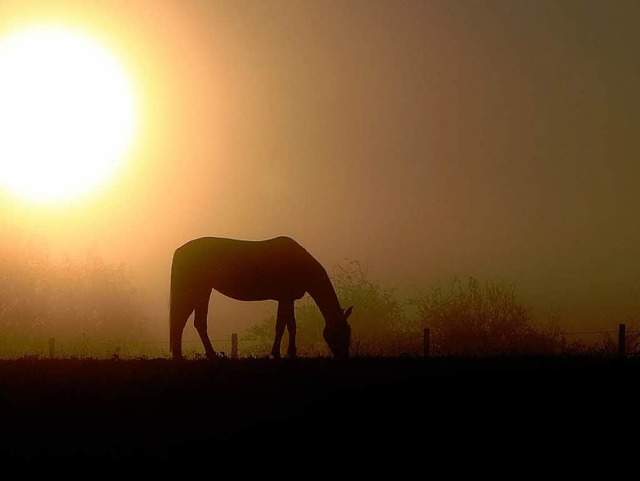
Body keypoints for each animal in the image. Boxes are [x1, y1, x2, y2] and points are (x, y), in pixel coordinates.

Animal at [168, 236, 352, 360]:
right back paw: (187, 356)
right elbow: (281, 327)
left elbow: (291, 326)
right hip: (196, 290)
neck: (300, 263)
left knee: (194, 322)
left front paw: (291, 353)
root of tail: (180, 250)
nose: (344, 356)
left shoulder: (288, 299)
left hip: (203, 291)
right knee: (182, 320)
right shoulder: (284, 298)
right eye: (339, 333)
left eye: (348, 332)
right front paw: (276, 353)